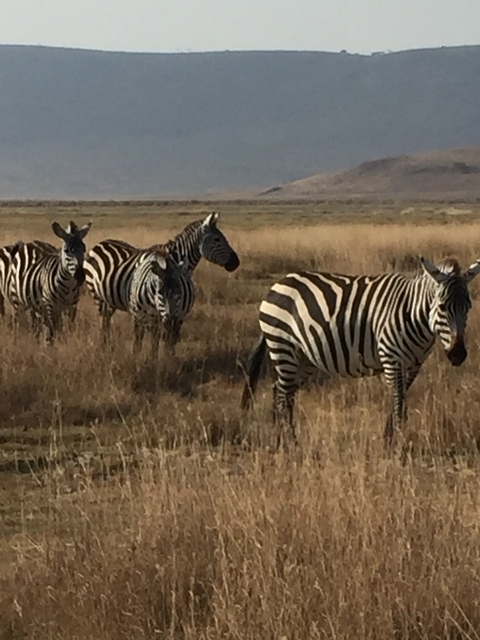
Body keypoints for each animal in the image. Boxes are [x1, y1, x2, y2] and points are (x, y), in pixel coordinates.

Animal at [84, 212, 239, 348]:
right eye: (217, 239)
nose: (236, 262)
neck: (174, 259)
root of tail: (100, 243)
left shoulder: (174, 312)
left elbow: (168, 340)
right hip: (97, 296)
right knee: (104, 321)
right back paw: (104, 347)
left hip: (110, 300)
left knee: (106, 321)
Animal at [241, 257, 480, 446]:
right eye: (442, 307)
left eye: (468, 308)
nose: (458, 355)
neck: (413, 313)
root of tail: (278, 284)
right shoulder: (392, 358)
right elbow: (398, 403)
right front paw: (396, 447)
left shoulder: (414, 364)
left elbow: (400, 402)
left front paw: (389, 438)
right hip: (283, 346)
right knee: (282, 395)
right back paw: (290, 442)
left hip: (303, 358)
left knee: (280, 391)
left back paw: (280, 438)